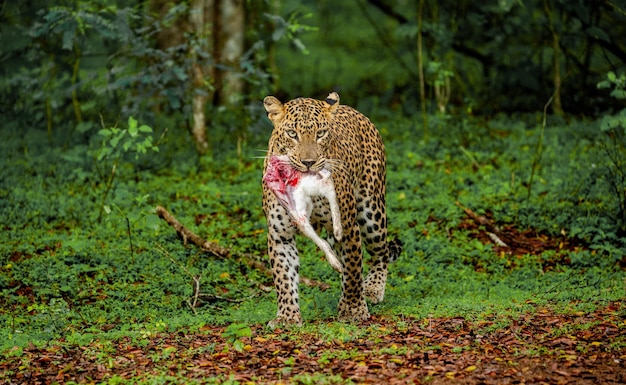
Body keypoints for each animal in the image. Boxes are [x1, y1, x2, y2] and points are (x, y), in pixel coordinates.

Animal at [262, 91, 400, 328]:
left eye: (321, 133)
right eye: (292, 133)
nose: (309, 162)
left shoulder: (348, 227)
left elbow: (353, 267)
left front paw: (353, 310)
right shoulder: (280, 234)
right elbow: (283, 275)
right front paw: (287, 317)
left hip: (371, 211)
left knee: (379, 253)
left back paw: (372, 289)